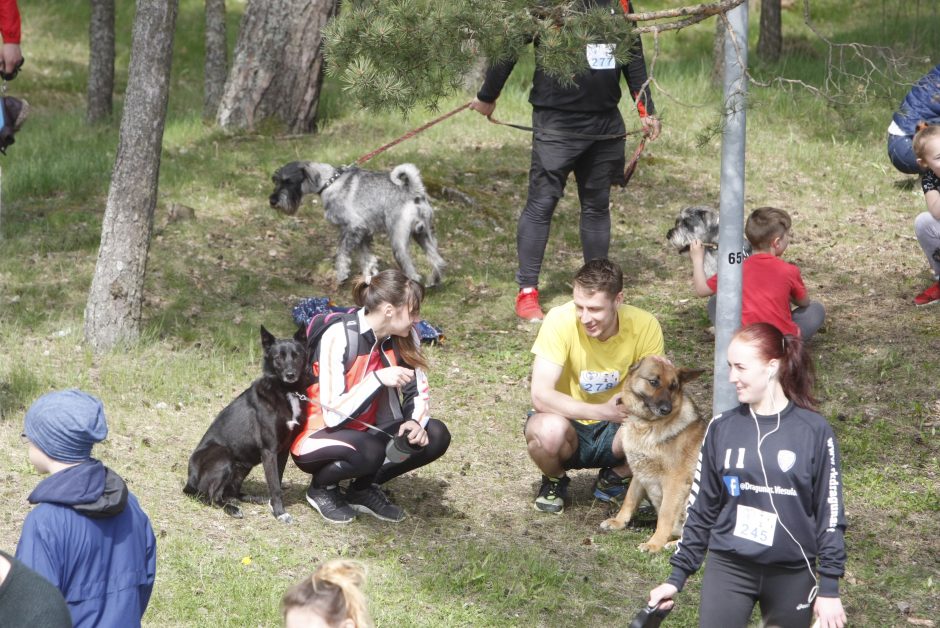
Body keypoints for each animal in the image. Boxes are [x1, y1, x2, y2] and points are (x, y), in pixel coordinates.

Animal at [185, 326, 310, 524]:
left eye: (296, 356)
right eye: (278, 357)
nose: (290, 375)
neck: (286, 391)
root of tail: (190, 479)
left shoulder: (282, 451)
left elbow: (277, 479)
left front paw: (273, 505)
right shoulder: (269, 451)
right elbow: (275, 485)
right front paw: (280, 513)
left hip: (243, 467)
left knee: (231, 492)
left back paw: (253, 498)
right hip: (223, 455)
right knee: (212, 496)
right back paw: (232, 509)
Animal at [268, 163, 448, 288]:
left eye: (288, 181)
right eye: (276, 180)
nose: (273, 200)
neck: (329, 182)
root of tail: (415, 192)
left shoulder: (354, 228)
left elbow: (342, 254)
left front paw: (341, 276)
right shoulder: (364, 233)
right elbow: (366, 258)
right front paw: (369, 277)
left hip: (399, 240)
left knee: (412, 271)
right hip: (423, 235)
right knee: (438, 260)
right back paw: (434, 281)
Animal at [604, 356, 704, 552]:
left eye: (673, 386)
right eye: (653, 382)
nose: (666, 409)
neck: (646, 424)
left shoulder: (674, 482)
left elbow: (665, 515)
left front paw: (655, 543)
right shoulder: (639, 472)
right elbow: (629, 499)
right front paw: (620, 522)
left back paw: (671, 543)